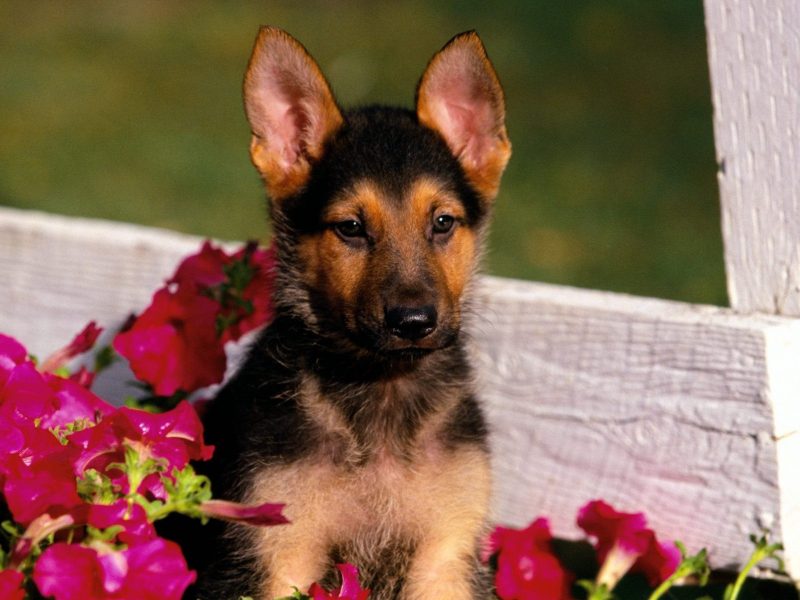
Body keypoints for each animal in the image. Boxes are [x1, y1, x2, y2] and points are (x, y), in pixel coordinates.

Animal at [198, 27, 512, 600]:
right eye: (350, 228)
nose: (413, 323)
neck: (382, 388)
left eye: (442, 222)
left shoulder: (446, 557)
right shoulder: (277, 556)